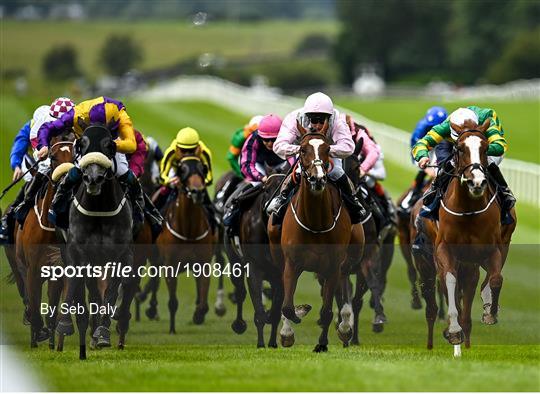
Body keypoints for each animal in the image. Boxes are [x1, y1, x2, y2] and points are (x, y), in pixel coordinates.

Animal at [15, 135, 75, 348]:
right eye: (53, 156)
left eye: (75, 156)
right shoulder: (32, 270)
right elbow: (33, 305)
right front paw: (37, 333)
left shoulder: (59, 269)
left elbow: (54, 307)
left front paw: (54, 338)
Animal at [155, 154, 216, 332]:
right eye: (182, 170)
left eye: (203, 168)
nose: (197, 192)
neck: (188, 230)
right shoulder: (169, 265)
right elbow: (172, 302)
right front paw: (172, 330)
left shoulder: (203, 262)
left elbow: (203, 303)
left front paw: (198, 316)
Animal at [268, 121, 364, 352]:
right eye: (302, 150)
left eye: (328, 149)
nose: (318, 178)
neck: (315, 221)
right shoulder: (291, 263)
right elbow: (287, 307)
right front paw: (289, 330)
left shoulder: (333, 266)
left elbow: (327, 310)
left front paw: (322, 343)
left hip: (345, 262)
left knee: (343, 291)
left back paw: (345, 327)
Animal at [430, 118, 516, 356]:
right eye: (460, 148)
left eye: (485, 148)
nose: (476, 182)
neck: (468, 210)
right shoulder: (444, 250)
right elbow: (449, 280)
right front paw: (453, 331)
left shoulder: (490, 250)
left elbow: (496, 279)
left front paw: (490, 312)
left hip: (496, 248)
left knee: (486, 278)